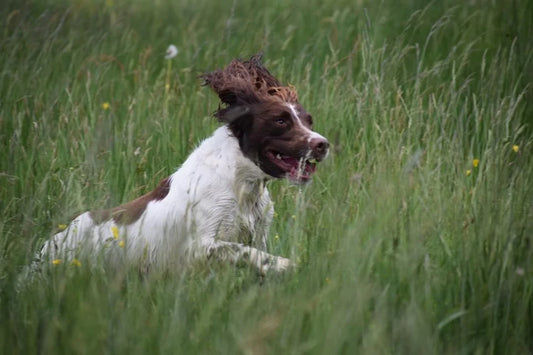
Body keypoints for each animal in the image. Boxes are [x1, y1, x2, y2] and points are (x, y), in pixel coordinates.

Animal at [38, 55, 328, 276]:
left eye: (309, 120)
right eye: (280, 121)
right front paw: (286, 265)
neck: (240, 184)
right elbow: (245, 252)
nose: (322, 144)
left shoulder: (258, 231)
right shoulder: (201, 246)